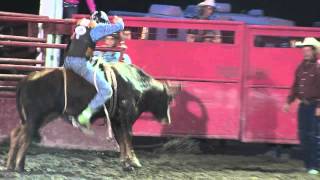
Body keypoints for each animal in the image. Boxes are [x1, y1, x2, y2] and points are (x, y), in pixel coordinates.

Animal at [5, 63, 180, 172]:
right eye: (168, 99)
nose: (168, 120)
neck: (135, 83)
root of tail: (27, 78)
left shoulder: (116, 119)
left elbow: (121, 140)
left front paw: (126, 161)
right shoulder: (125, 116)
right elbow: (127, 137)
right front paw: (131, 162)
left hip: (37, 117)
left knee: (16, 134)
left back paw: (11, 164)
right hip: (35, 117)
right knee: (26, 137)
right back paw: (20, 166)